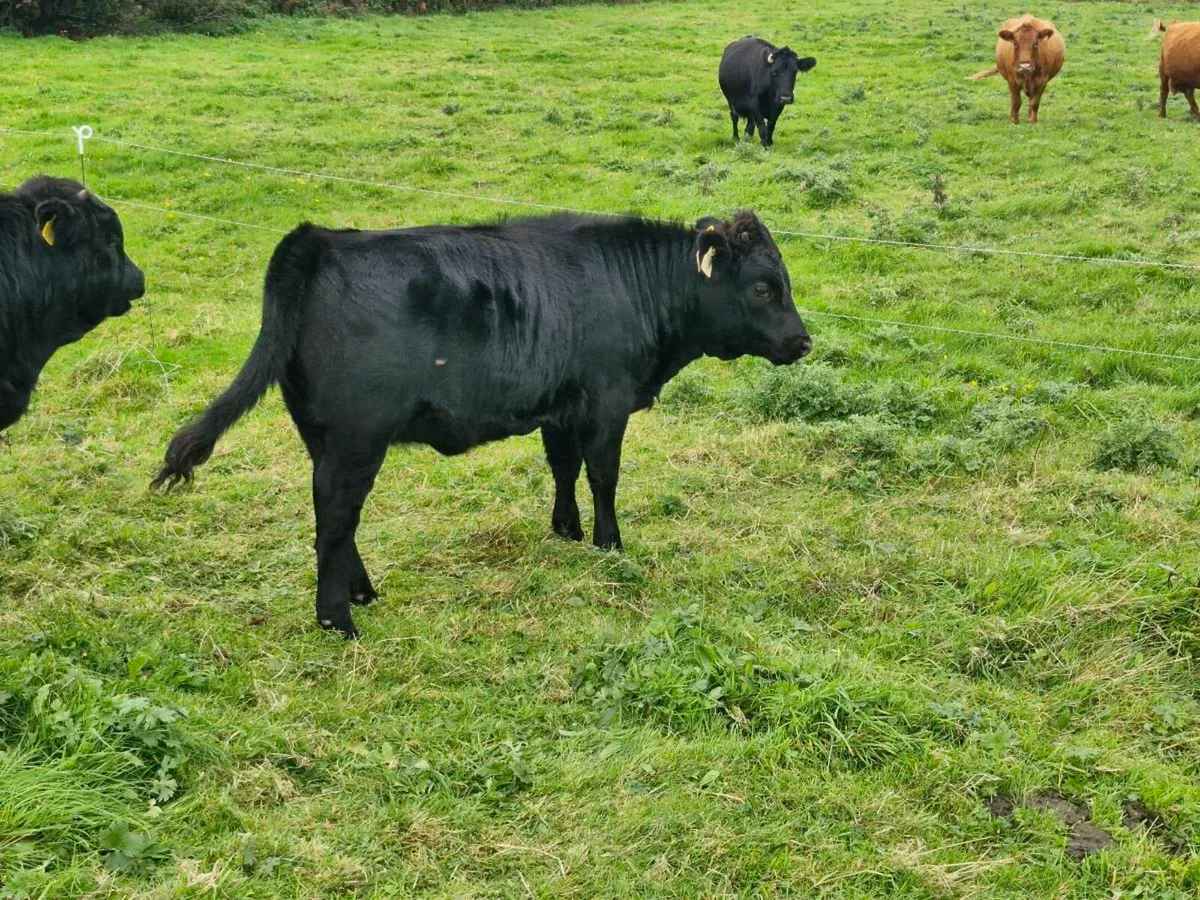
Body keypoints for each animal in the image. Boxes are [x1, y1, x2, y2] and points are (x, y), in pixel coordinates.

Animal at [153, 211, 812, 638]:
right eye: (763, 287)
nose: (803, 341)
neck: (630, 286)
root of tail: (321, 240)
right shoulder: (606, 404)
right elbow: (603, 476)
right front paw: (610, 544)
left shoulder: (561, 408)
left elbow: (563, 468)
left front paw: (566, 531)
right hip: (356, 438)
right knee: (336, 516)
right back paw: (337, 618)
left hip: (324, 437)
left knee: (334, 518)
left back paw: (360, 591)